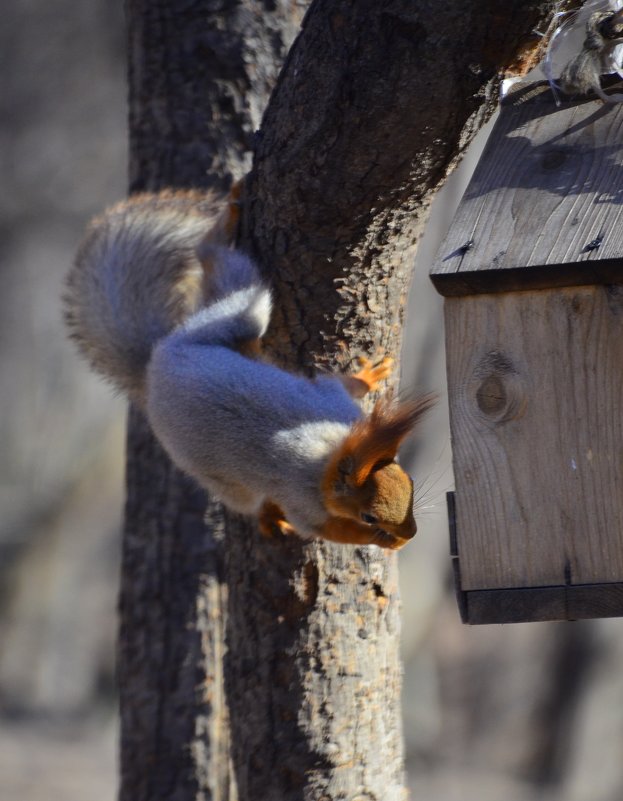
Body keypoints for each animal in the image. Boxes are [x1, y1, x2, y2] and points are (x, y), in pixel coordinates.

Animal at [63, 186, 434, 552]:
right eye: (368, 516)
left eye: (408, 479)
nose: (411, 533)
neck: (333, 453)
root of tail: (155, 366)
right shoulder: (304, 498)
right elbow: (325, 528)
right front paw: (381, 540)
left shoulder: (338, 404)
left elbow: (341, 384)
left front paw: (369, 374)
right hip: (220, 474)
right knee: (247, 501)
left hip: (221, 327)